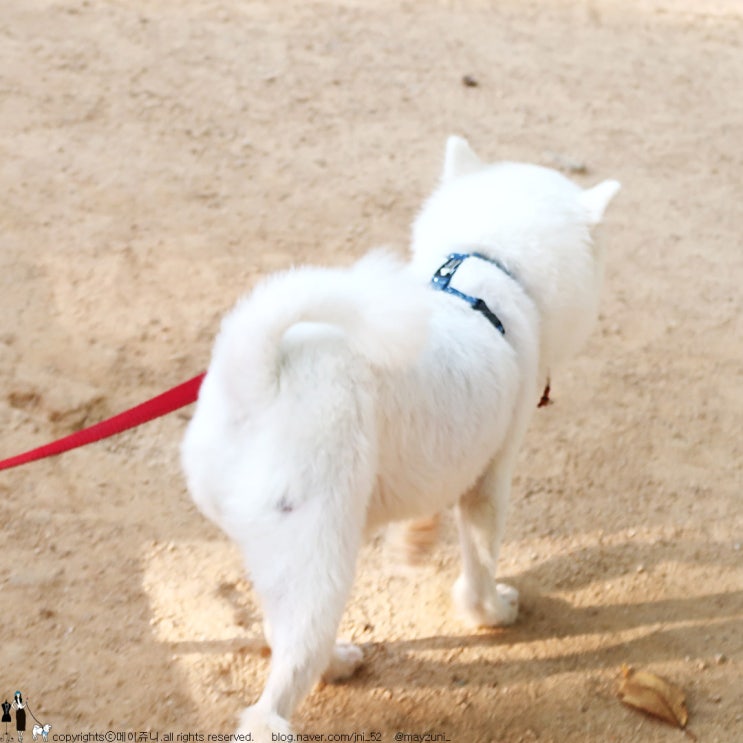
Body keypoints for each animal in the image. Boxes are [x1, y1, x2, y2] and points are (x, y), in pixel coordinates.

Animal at [182, 138, 620, 740]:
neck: (488, 266)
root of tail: (256, 376)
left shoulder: (438, 459)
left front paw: (414, 545)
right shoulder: (491, 477)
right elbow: (481, 560)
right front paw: (491, 612)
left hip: (277, 551)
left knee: (280, 628)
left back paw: (336, 659)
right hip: (320, 557)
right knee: (280, 683)